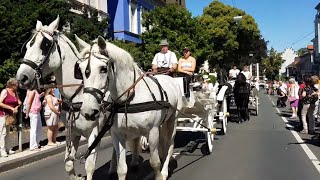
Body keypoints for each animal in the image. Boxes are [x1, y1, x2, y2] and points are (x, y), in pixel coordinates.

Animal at [15, 16, 105, 179]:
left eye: (44, 44)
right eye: (28, 45)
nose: (22, 77)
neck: (78, 96)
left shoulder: (94, 133)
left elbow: (89, 166)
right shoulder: (73, 133)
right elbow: (68, 163)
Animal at [76, 35, 184, 179]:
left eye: (103, 68)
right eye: (81, 70)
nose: (88, 111)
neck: (129, 98)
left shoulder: (152, 131)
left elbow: (154, 162)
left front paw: (160, 175)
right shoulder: (117, 134)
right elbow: (122, 168)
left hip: (172, 120)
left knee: (170, 144)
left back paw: (165, 170)